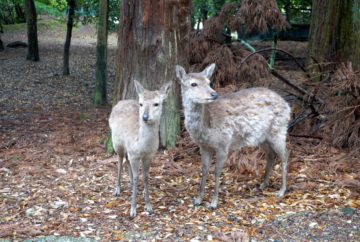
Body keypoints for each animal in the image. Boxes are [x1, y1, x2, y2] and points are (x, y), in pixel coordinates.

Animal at [108, 80, 172, 217]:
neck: (142, 146)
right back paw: (117, 189)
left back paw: (130, 183)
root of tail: (120, 102)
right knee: (120, 161)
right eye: (141, 103)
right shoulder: (134, 154)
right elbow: (137, 177)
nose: (145, 117)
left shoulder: (149, 155)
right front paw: (133, 210)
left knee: (126, 160)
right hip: (117, 142)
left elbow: (146, 177)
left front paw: (149, 207)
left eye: (156, 103)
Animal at [176, 63, 292, 209]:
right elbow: (204, 170)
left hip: (279, 129)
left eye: (208, 82)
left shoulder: (223, 144)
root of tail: (287, 105)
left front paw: (213, 203)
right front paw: (198, 200)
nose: (214, 94)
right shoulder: (204, 146)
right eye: (193, 84)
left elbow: (217, 171)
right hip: (262, 137)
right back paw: (263, 184)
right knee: (271, 154)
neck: (206, 128)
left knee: (285, 154)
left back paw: (281, 191)